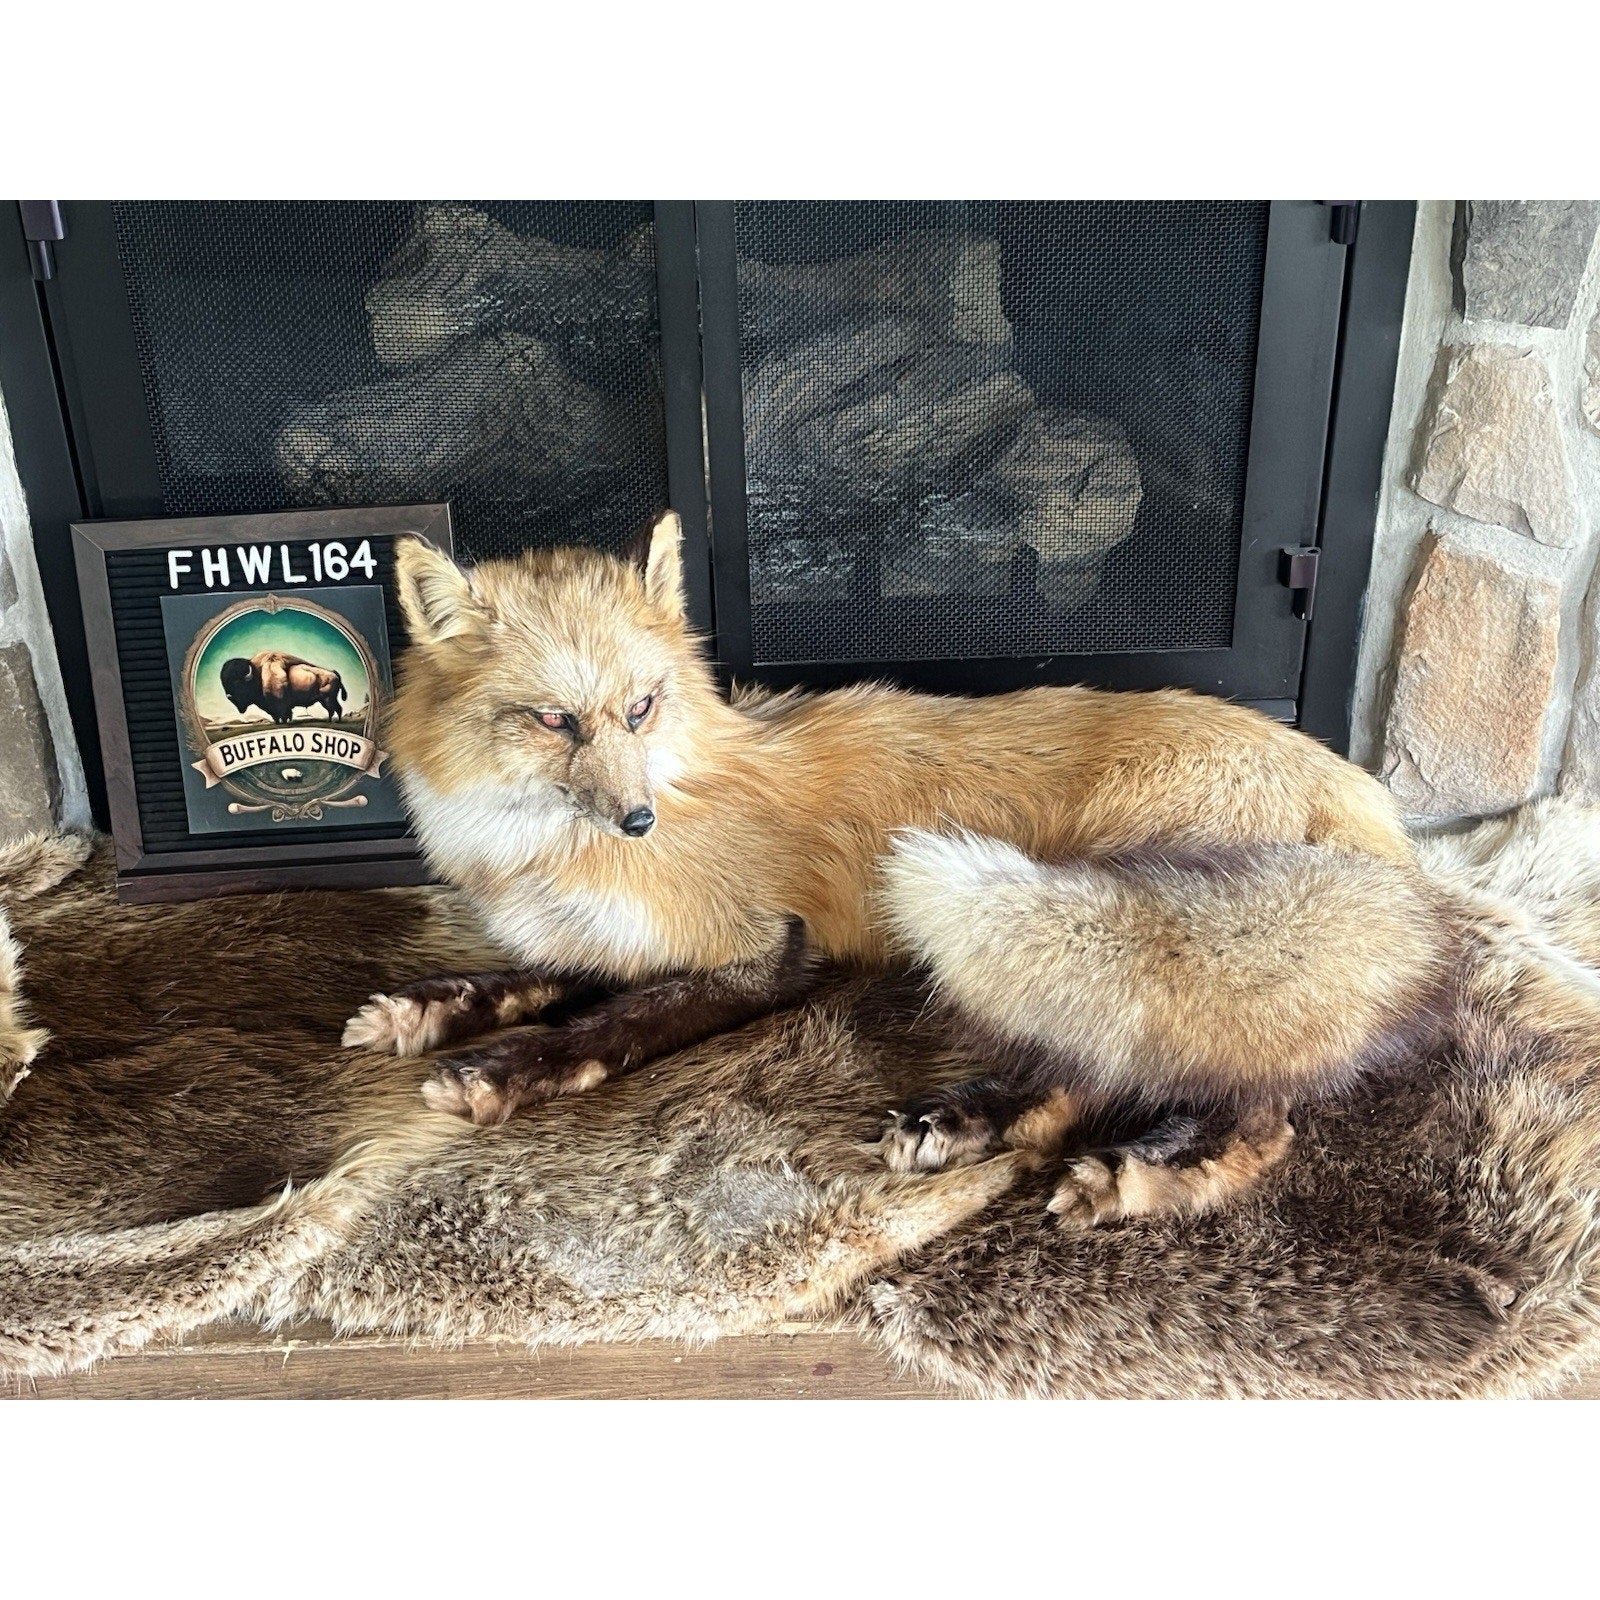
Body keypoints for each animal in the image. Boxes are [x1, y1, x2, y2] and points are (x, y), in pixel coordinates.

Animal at [343, 511, 1452, 1226]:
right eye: (554, 720)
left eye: (639, 709)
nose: (637, 820)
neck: (535, 858)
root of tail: (1357, 792)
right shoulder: (604, 936)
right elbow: (531, 978)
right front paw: (429, 1011)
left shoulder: (762, 951)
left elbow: (607, 1024)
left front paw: (503, 1069)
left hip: (1102, 921)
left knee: (1209, 1099)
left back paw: (1075, 1162)